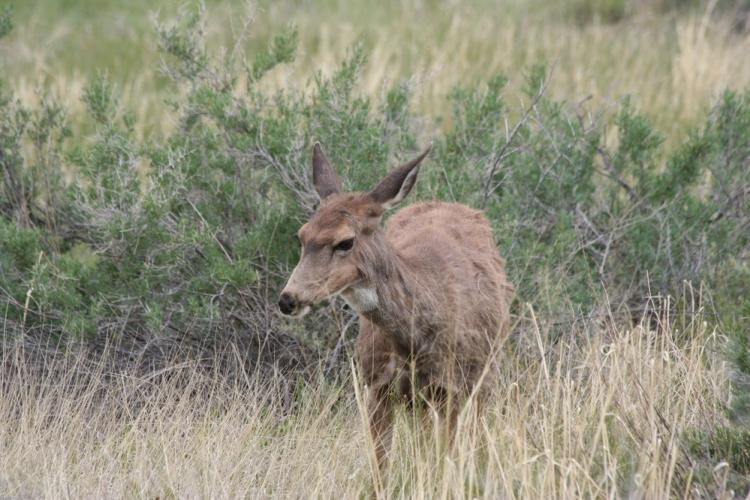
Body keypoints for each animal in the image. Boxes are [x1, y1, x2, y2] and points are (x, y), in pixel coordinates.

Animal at [280, 144, 516, 476]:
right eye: (301, 235)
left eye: (345, 242)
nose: (289, 299)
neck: (414, 342)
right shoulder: (377, 385)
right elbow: (381, 470)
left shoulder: (453, 388)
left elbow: (446, 461)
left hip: (485, 376)